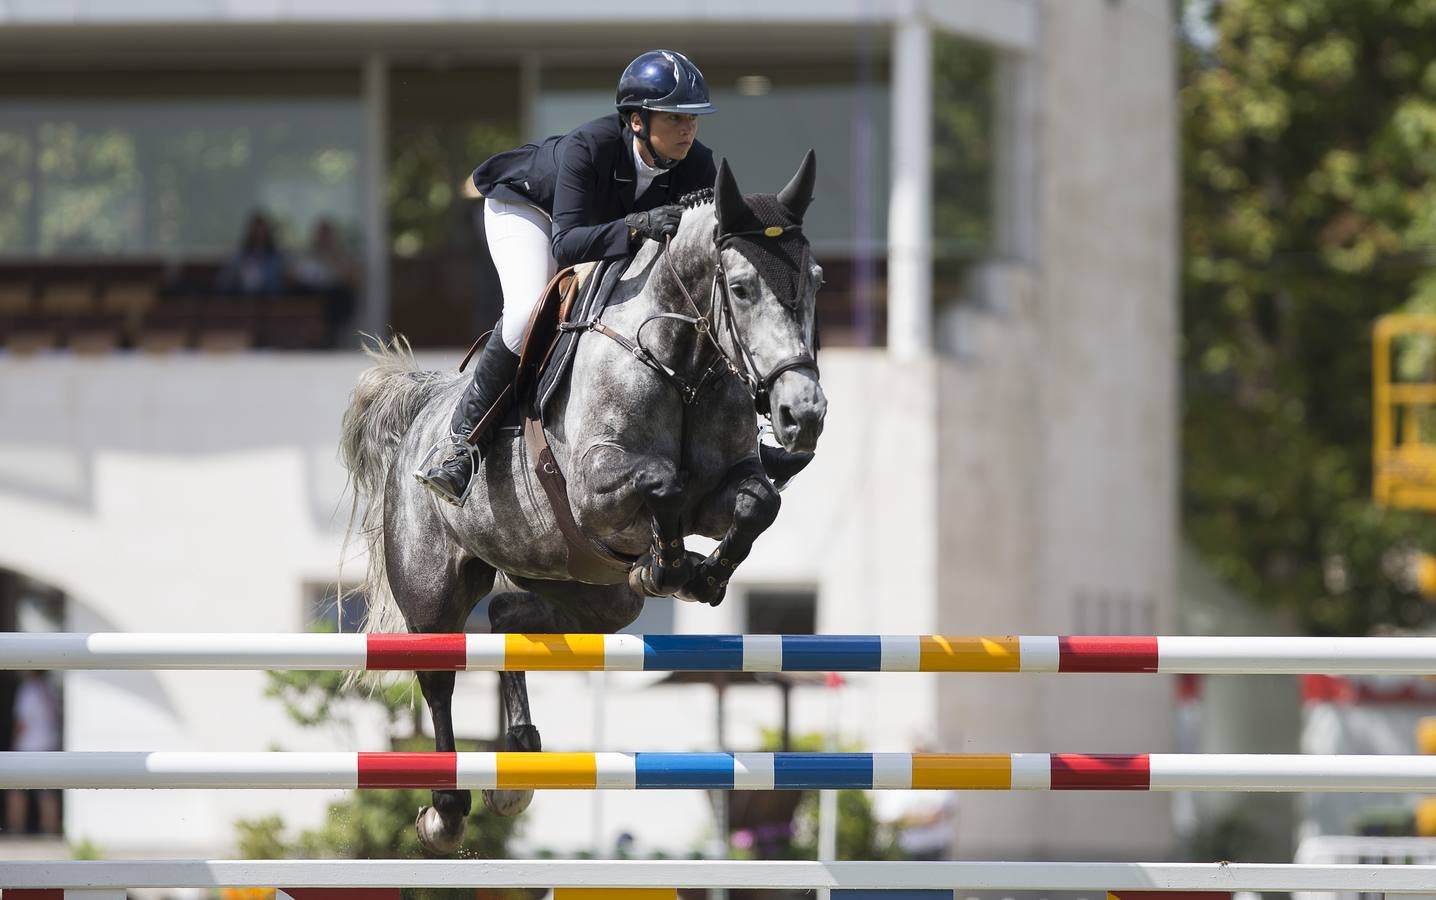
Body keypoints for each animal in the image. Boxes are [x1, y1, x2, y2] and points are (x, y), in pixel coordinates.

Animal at [338, 151, 832, 855]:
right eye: (740, 289)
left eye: (816, 280)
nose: (803, 416)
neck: (682, 363)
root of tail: (422, 409)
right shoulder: (598, 490)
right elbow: (662, 483)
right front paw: (671, 564)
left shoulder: (722, 490)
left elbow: (756, 502)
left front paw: (701, 574)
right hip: (434, 583)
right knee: (439, 674)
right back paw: (446, 809)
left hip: (592, 591)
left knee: (510, 615)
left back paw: (517, 763)